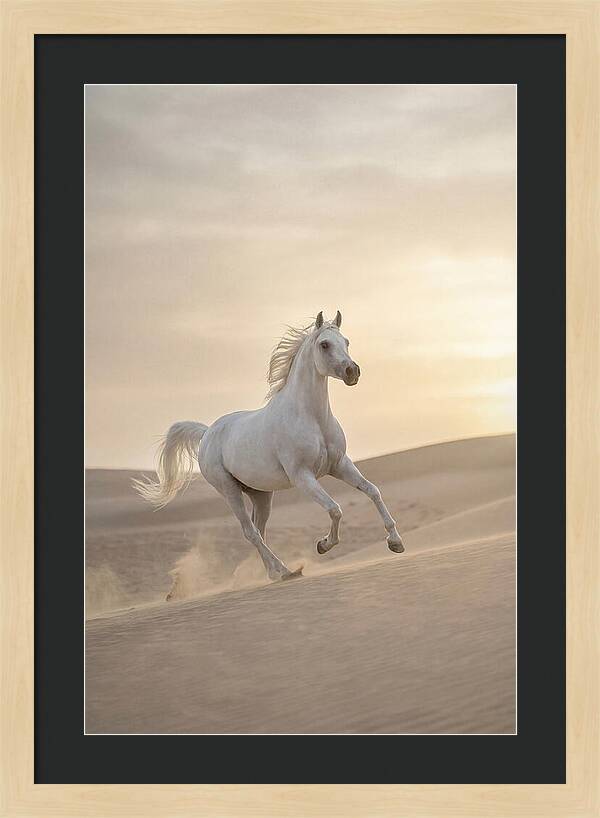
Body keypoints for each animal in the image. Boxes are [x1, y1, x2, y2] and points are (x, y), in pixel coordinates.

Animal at [134, 310, 404, 582]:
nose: (352, 371)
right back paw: (284, 571)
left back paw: (274, 573)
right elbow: (335, 509)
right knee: (250, 532)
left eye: (346, 342)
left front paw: (395, 542)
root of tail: (207, 432)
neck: (312, 417)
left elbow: (372, 491)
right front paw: (323, 545)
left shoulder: (339, 465)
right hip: (229, 490)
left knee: (259, 530)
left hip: (261, 495)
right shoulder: (302, 477)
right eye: (324, 344)